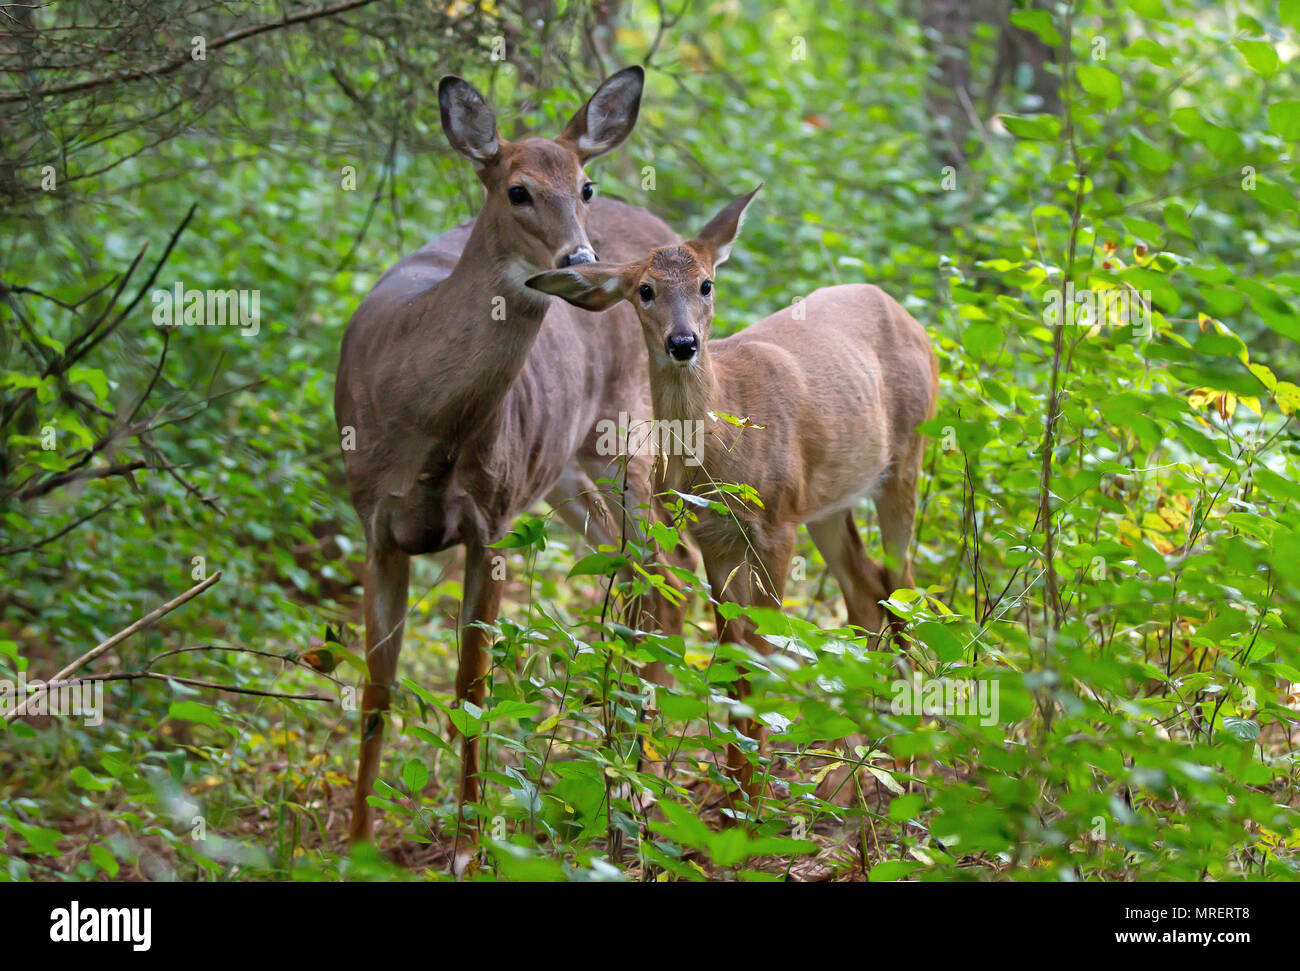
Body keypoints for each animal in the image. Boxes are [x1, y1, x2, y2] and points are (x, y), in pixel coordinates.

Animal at [332, 68, 681, 852]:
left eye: (585, 185)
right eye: (517, 190)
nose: (582, 263)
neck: (426, 429)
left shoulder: (489, 521)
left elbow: (472, 686)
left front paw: (469, 846)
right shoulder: (374, 524)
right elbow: (375, 687)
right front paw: (356, 845)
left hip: (629, 433)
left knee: (662, 575)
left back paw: (646, 787)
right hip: (566, 476)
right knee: (640, 578)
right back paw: (630, 775)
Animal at [522, 188, 941, 805]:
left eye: (706, 284)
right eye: (644, 289)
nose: (683, 343)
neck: (720, 449)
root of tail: (905, 314)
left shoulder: (776, 524)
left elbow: (763, 644)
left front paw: (755, 790)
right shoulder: (713, 536)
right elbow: (732, 653)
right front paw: (733, 790)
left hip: (906, 458)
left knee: (902, 585)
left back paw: (911, 757)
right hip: (830, 499)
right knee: (867, 590)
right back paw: (849, 771)